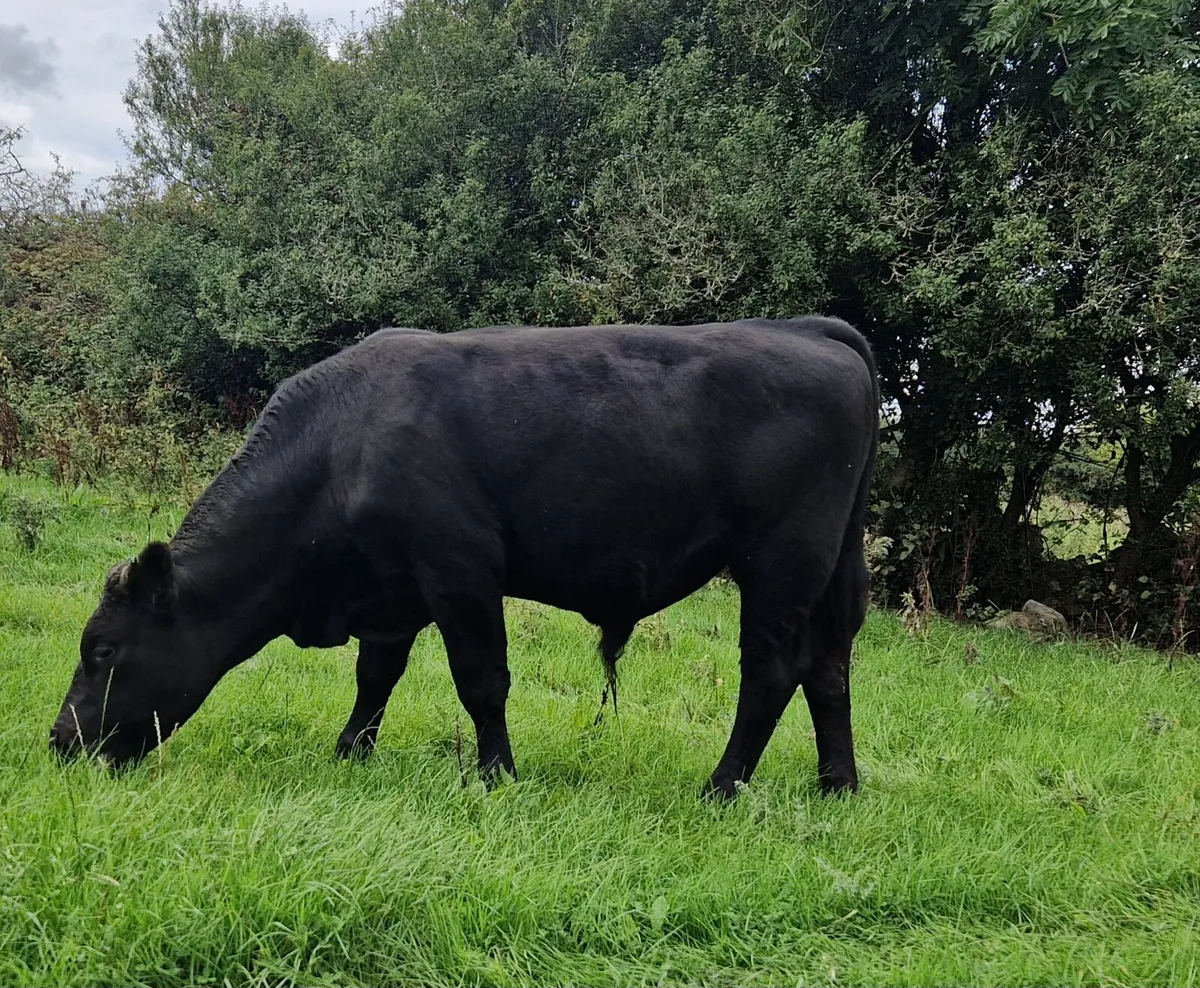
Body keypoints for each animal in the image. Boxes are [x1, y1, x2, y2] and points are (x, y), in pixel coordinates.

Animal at [50, 317, 879, 798]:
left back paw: (722, 785)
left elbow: (482, 681)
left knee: (771, 672)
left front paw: (496, 775)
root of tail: (812, 330)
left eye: (103, 648)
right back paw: (837, 784)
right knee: (830, 669)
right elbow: (376, 676)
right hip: (834, 568)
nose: (60, 740)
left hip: (779, 561)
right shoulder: (392, 594)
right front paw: (350, 751)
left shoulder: (459, 571)